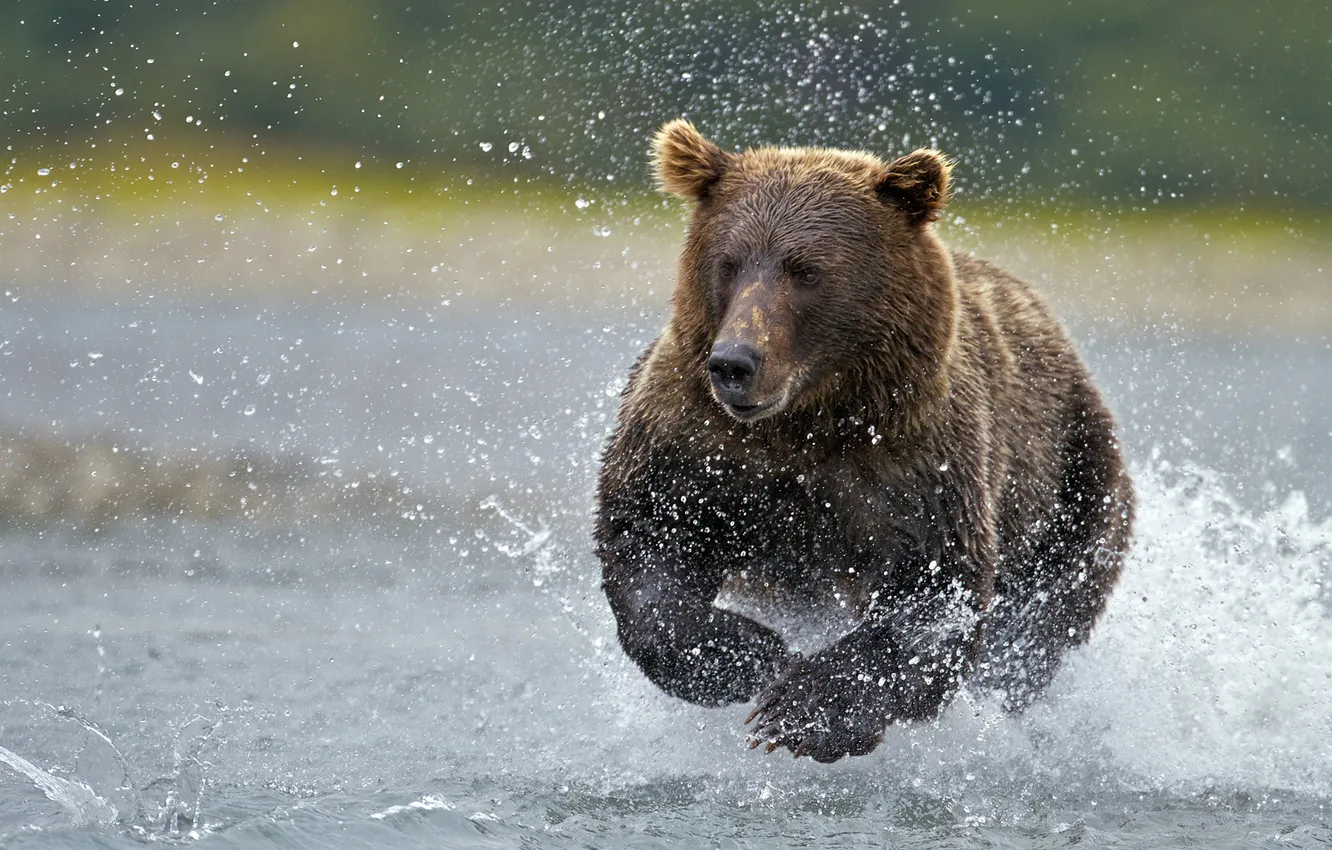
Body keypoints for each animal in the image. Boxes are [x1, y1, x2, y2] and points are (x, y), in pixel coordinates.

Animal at [594, 119, 1134, 767]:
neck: (810, 418)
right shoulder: (698, 441)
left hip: (1074, 481)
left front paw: (802, 711)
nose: (734, 363)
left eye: (805, 269)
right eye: (729, 263)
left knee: (1038, 624)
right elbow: (650, 539)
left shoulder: (918, 464)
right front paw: (748, 654)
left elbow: (933, 595)